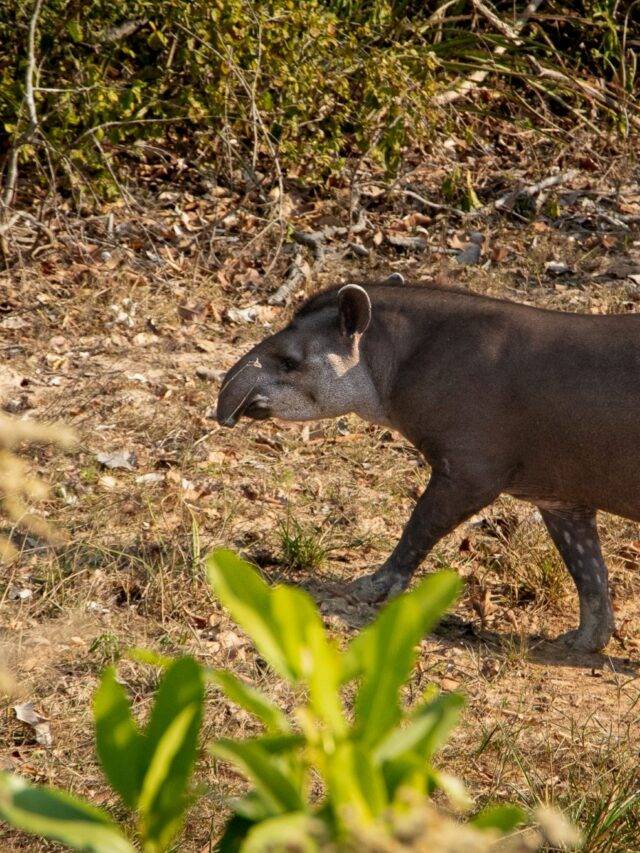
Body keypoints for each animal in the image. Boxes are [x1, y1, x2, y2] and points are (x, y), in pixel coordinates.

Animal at [216, 278, 640, 652]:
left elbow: (418, 528)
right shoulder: (560, 497)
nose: (225, 408)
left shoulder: (471, 468)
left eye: (290, 362)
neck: (393, 358)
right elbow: (588, 572)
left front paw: (368, 588)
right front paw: (584, 641)